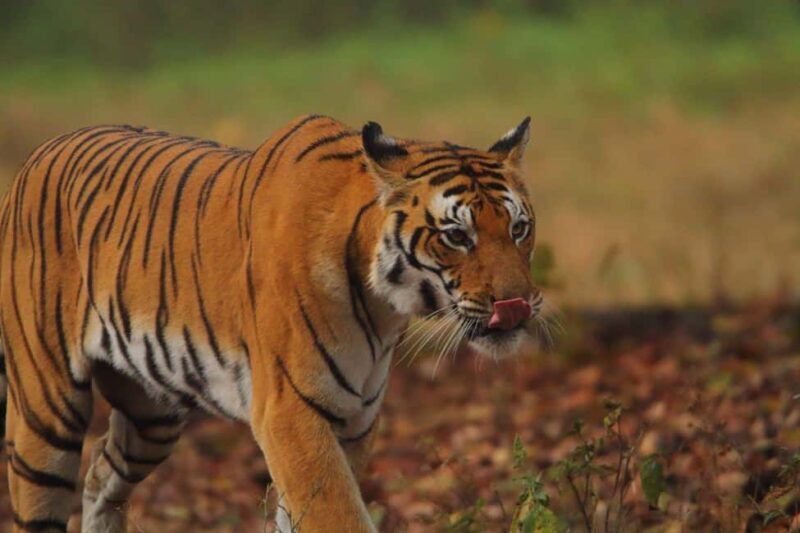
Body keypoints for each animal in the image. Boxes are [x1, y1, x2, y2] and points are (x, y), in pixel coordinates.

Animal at [0, 114, 542, 532]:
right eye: (456, 236)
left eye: (519, 228)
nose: (517, 304)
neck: (383, 308)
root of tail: (33, 159)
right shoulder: (290, 412)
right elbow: (338, 515)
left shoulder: (354, 420)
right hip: (47, 412)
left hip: (151, 415)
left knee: (100, 477)